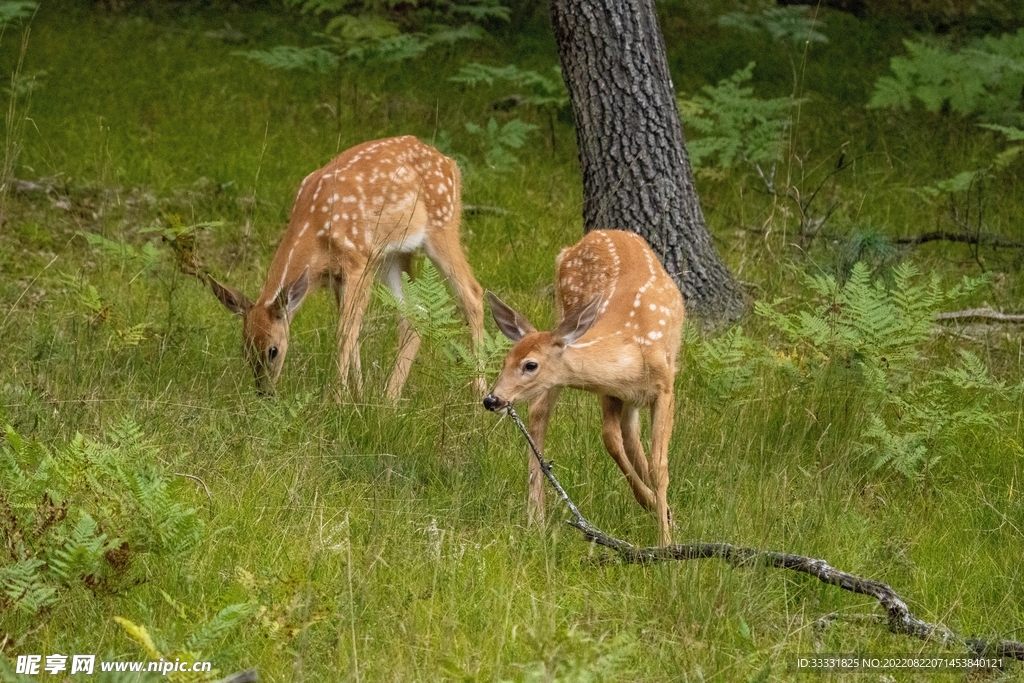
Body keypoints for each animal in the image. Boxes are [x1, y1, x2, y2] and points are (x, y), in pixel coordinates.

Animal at [207, 136, 485, 401]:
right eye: (245, 350)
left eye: (272, 351)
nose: (264, 393)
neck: (314, 227)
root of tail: (449, 163)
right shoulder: (338, 277)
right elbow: (353, 335)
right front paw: (357, 396)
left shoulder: (359, 262)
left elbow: (344, 332)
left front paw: (335, 401)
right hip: (394, 255)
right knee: (414, 311)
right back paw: (389, 399)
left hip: (441, 224)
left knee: (472, 293)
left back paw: (478, 396)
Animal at [483, 229, 684, 546]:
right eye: (506, 360)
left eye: (530, 364)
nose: (492, 399)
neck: (633, 347)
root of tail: (594, 234)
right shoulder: (611, 391)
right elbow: (612, 441)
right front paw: (659, 518)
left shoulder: (665, 387)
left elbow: (658, 464)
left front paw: (665, 539)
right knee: (542, 411)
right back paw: (536, 517)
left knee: (631, 439)